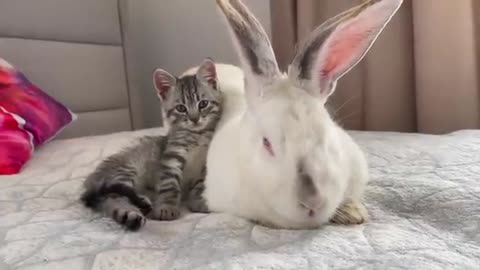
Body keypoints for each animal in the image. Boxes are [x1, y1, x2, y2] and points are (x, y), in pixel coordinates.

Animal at [80, 59, 223, 230]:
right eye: (181, 108)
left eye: (203, 104)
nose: (194, 119)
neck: (197, 136)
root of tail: (91, 180)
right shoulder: (171, 158)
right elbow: (170, 185)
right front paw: (166, 208)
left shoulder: (206, 163)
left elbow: (200, 184)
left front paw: (199, 200)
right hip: (125, 171)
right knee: (116, 195)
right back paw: (138, 207)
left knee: (110, 202)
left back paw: (130, 216)